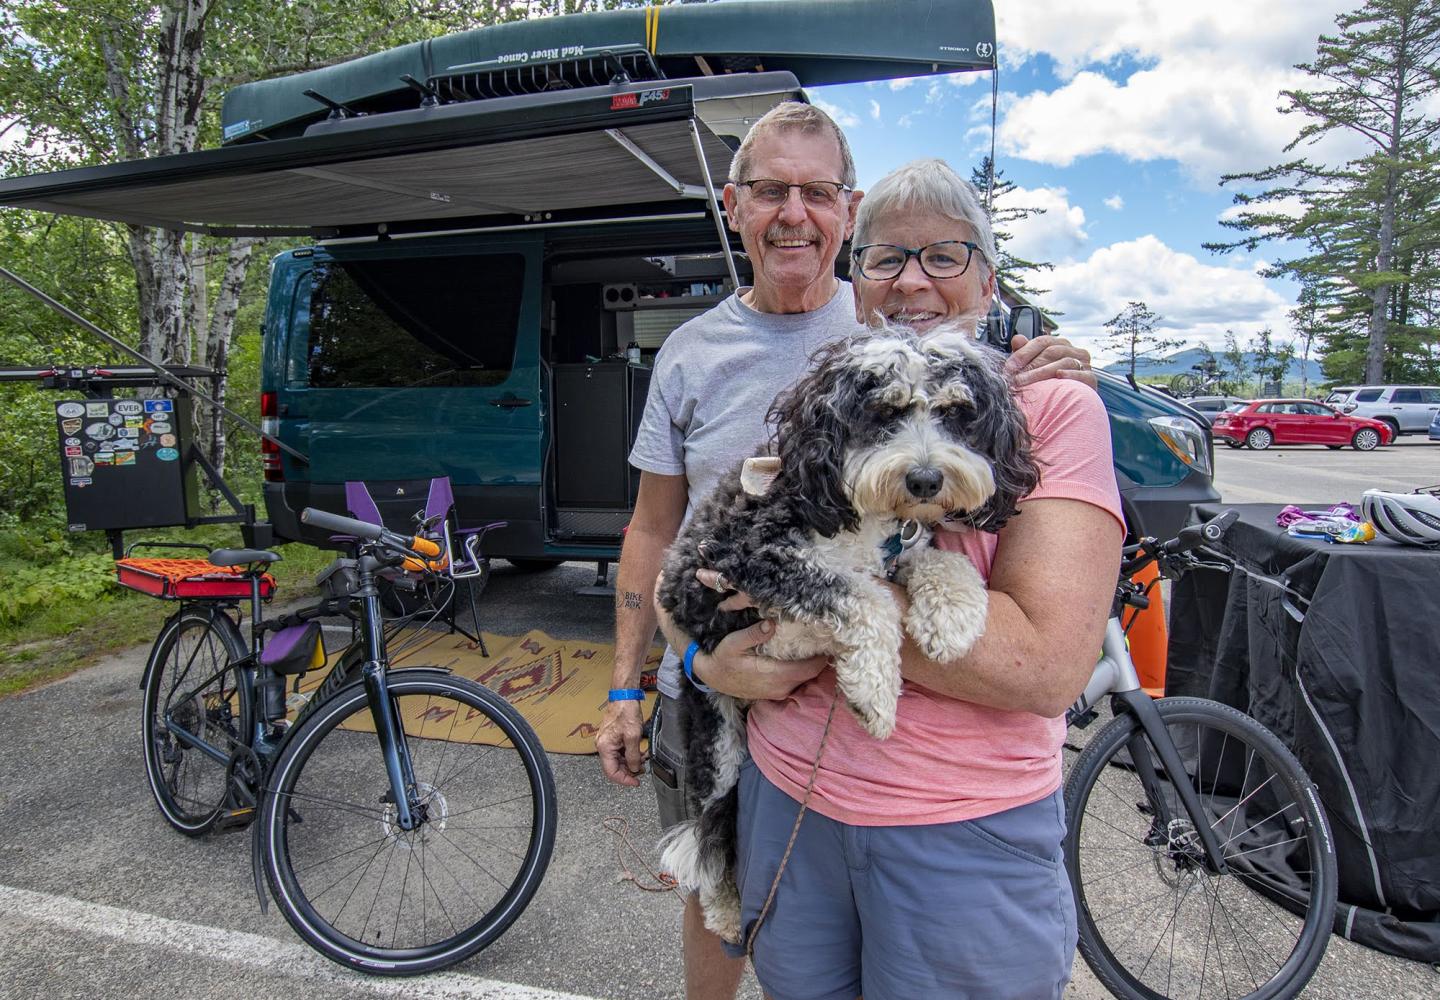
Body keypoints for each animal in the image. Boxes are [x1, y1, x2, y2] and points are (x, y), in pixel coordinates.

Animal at [659, 331, 1042, 945]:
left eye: (956, 414)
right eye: (884, 414)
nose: (926, 480)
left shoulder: (900, 551)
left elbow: (934, 563)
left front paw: (953, 615)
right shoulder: (744, 556)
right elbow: (864, 597)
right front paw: (874, 694)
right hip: (717, 744)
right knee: (712, 826)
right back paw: (723, 909)